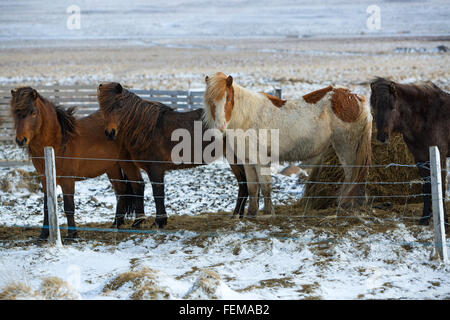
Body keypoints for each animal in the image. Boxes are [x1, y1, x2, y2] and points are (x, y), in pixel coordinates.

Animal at [10, 87, 144, 240]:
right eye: (15, 112)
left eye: (33, 112)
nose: (21, 140)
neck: (58, 142)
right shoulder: (45, 179)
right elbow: (47, 207)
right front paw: (43, 235)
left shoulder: (68, 180)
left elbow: (69, 207)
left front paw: (72, 234)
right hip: (112, 167)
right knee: (121, 190)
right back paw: (116, 224)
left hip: (127, 163)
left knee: (138, 185)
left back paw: (137, 223)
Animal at [97, 82, 250, 228]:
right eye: (102, 107)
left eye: (119, 105)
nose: (110, 133)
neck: (147, 129)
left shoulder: (156, 169)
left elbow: (158, 193)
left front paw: (159, 222)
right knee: (243, 184)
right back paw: (237, 215)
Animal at [204, 72, 372, 216]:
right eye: (211, 102)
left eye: (228, 99)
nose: (221, 126)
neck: (248, 117)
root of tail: (355, 97)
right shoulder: (247, 161)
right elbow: (252, 188)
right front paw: (251, 214)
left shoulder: (260, 160)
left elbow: (265, 186)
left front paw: (268, 213)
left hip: (346, 147)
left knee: (351, 175)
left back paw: (344, 206)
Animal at [370, 77, 448, 229]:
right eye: (374, 107)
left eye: (392, 107)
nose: (382, 137)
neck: (426, 119)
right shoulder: (421, 158)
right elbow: (427, 187)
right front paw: (425, 218)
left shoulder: (440, 157)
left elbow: (440, 187)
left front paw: (445, 222)